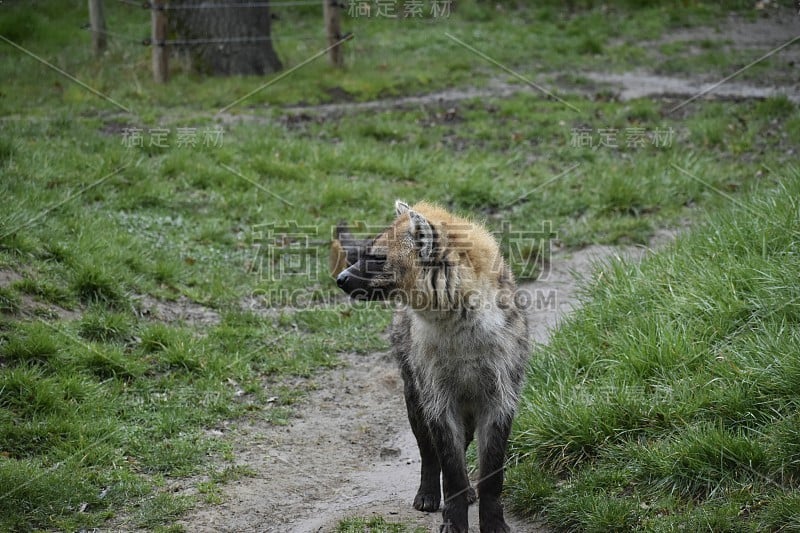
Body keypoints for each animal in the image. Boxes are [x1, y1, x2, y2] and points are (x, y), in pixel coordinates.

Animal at [334, 201, 528, 532]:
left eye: (378, 258)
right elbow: (450, 466)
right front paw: (452, 523)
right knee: (427, 446)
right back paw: (426, 496)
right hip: (413, 388)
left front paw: (494, 524)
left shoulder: (501, 392)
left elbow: (492, 469)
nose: (341, 278)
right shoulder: (436, 391)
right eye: (364, 252)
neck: (460, 328)